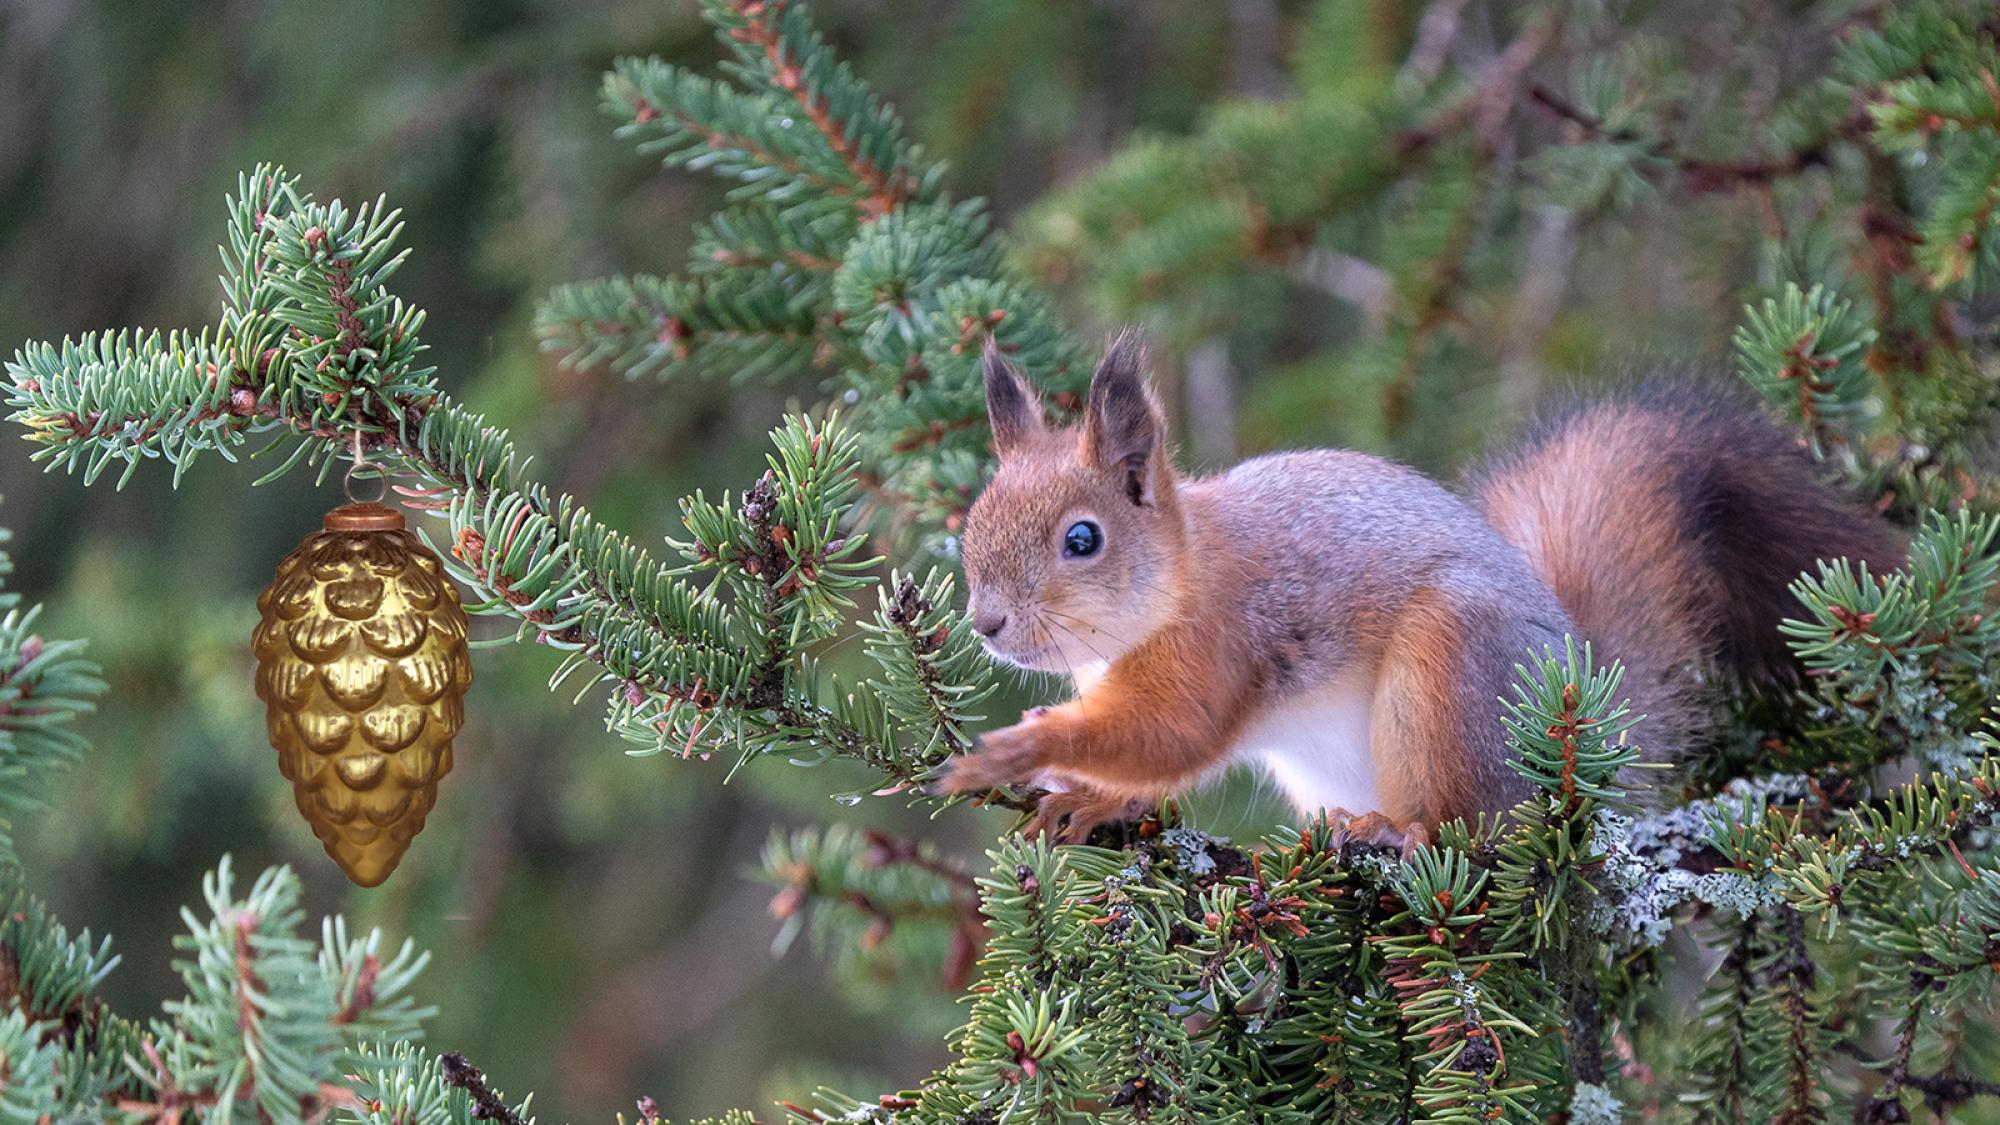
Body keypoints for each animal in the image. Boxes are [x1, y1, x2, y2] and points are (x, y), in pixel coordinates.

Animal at [936, 332, 1904, 840]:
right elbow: (1146, 766)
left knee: (1468, 829)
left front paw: (1020, 749)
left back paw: (1397, 831)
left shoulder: (1221, 642)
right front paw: (1092, 797)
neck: (1177, 578)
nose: (986, 623)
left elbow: (1169, 734)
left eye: (1083, 539)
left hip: (1450, 675)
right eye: (973, 521)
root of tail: (1588, 717)